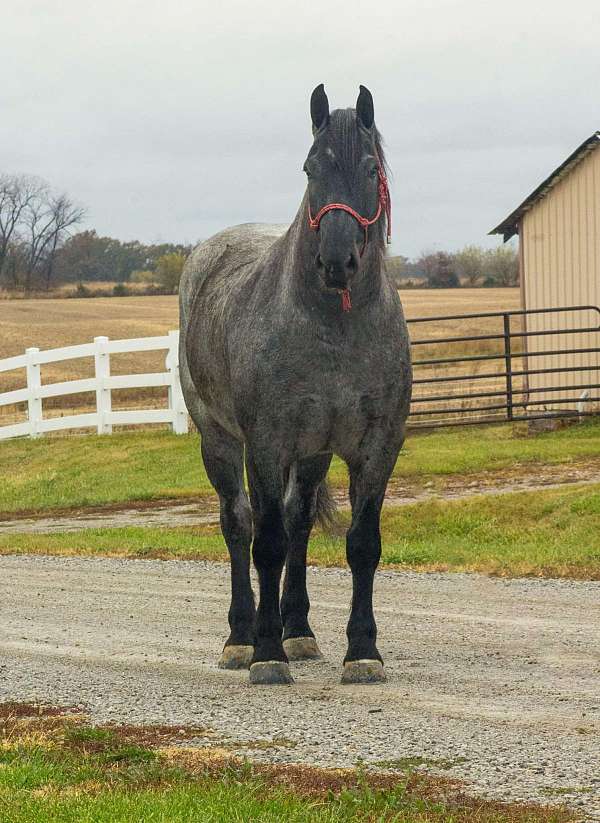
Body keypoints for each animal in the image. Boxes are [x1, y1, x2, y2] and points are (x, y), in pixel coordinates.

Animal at [179, 85, 412, 688]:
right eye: (310, 168)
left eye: (370, 167)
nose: (336, 262)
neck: (333, 326)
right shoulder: (267, 443)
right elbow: (267, 545)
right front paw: (266, 654)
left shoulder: (375, 447)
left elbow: (361, 544)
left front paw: (363, 652)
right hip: (220, 440)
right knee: (239, 525)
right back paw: (242, 638)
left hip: (312, 455)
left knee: (298, 521)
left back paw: (299, 630)